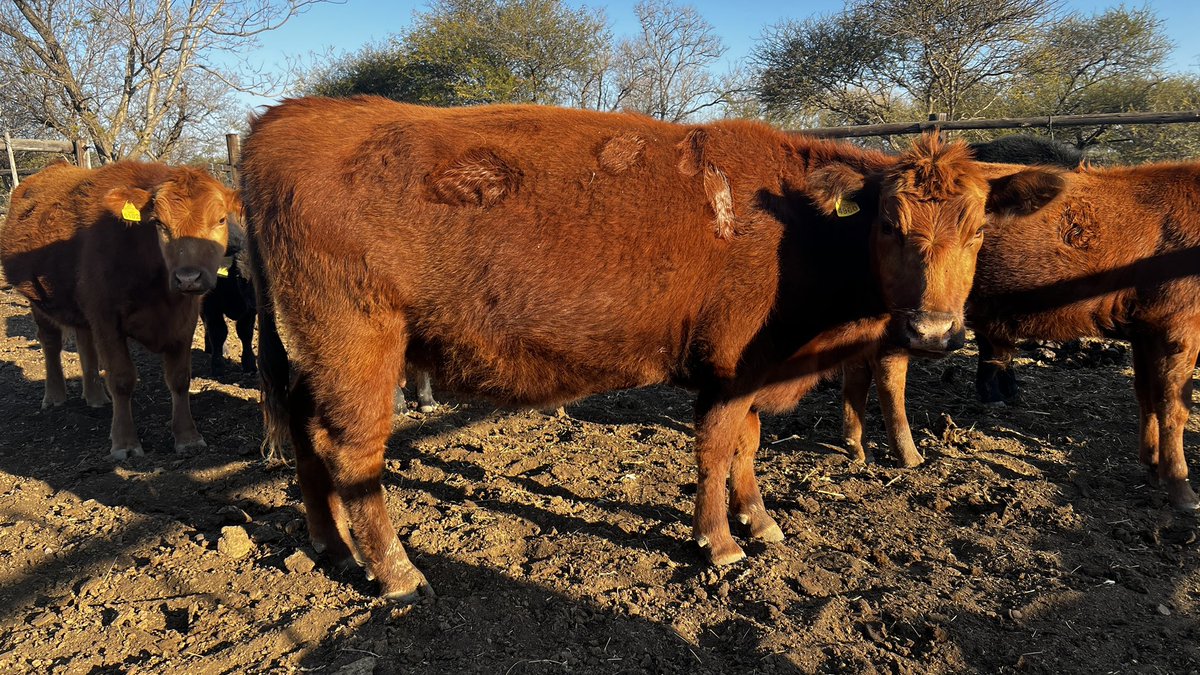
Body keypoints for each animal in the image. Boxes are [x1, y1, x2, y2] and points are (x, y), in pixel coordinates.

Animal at [1, 161, 238, 460]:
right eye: (158, 223)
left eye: (221, 220)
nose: (188, 278)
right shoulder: (106, 318)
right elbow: (122, 378)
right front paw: (124, 442)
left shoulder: (184, 320)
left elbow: (180, 378)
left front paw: (187, 436)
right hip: (40, 300)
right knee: (51, 344)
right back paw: (54, 396)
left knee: (85, 345)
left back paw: (95, 397)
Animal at [200, 214, 257, 377]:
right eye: (240, 277)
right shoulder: (211, 305)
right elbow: (218, 331)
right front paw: (217, 365)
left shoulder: (249, 311)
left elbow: (245, 332)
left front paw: (249, 363)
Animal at [240, 96, 1061, 601]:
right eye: (889, 223)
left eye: (979, 230)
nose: (933, 332)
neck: (793, 223)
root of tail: (284, 119)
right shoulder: (730, 369)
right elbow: (716, 447)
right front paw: (719, 542)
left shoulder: (756, 369)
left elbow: (747, 447)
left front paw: (761, 521)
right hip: (357, 346)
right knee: (353, 454)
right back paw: (397, 571)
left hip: (310, 355)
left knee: (309, 442)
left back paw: (331, 546)